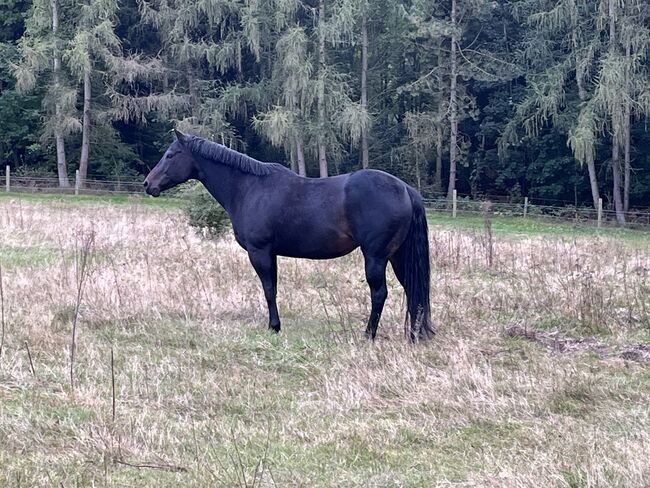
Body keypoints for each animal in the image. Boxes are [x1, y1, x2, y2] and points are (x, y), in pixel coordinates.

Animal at [144, 132, 432, 342]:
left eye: (170, 155)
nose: (148, 184)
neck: (249, 188)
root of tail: (405, 189)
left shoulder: (259, 251)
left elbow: (268, 290)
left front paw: (274, 327)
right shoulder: (271, 253)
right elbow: (273, 288)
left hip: (376, 257)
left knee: (380, 293)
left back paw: (368, 335)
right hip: (398, 256)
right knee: (413, 289)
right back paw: (415, 334)